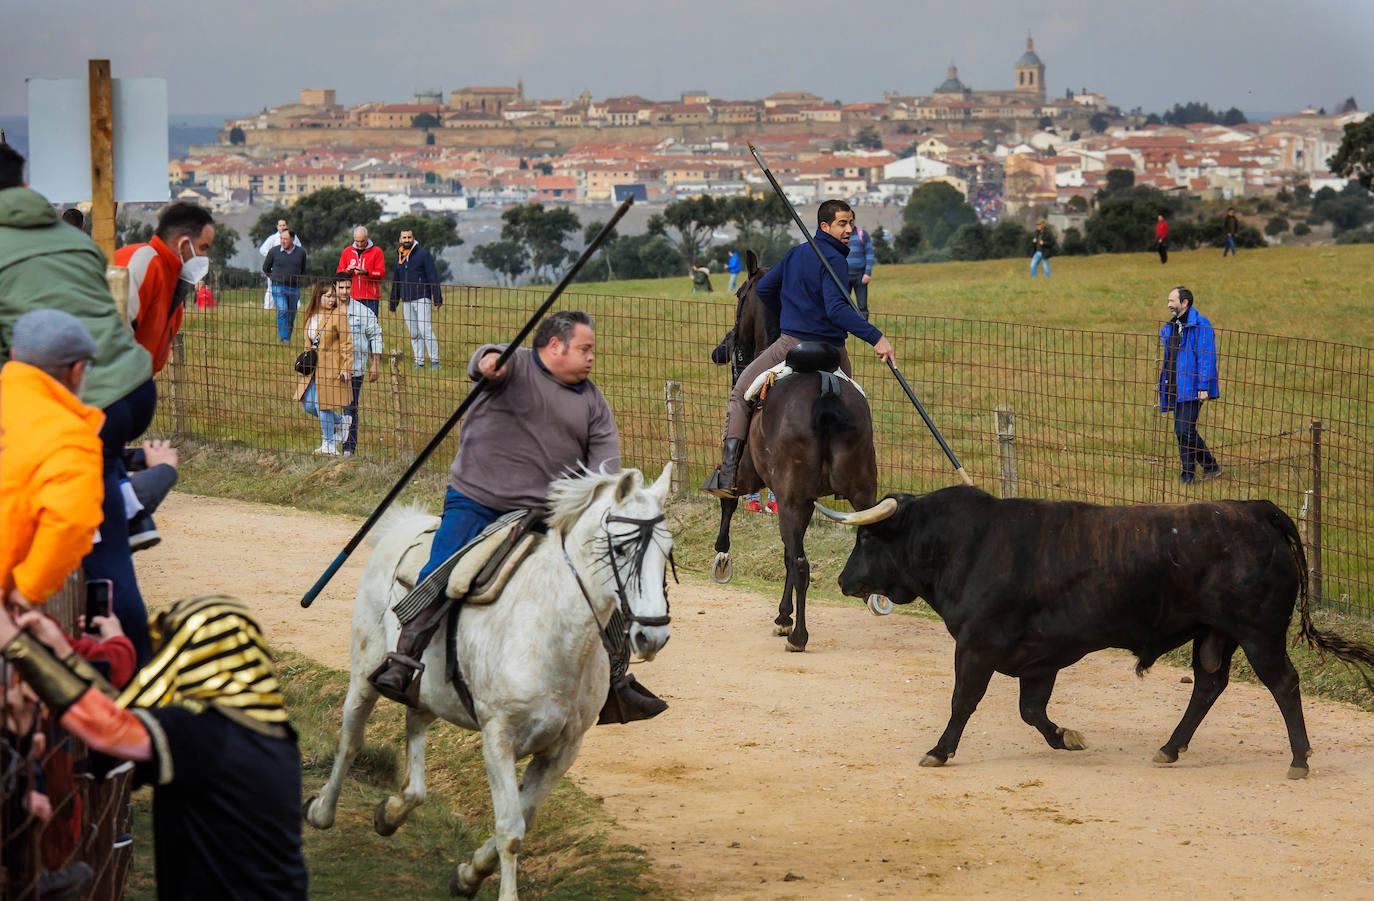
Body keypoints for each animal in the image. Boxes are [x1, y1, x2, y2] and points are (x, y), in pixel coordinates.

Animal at [309, 464, 678, 900]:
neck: (551, 632)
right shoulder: (499, 739)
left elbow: (526, 817)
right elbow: (511, 829)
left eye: (667, 551)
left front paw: (469, 875)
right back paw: (321, 811)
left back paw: (394, 810)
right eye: (620, 550)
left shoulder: (563, 750)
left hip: (428, 691)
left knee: (415, 730)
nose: (652, 636)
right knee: (351, 739)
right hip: (365, 675)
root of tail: (405, 527)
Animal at [708, 249, 879, 651]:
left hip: (790, 496)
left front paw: (723, 556)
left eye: (739, 294)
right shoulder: (804, 498)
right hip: (860, 490)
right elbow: (787, 553)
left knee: (800, 562)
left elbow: (730, 499)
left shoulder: (755, 479)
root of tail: (826, 389)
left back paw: (799, 636)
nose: (726, 350)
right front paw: (783, 615)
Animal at [824, 488, 1374, 780]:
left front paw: (939, 751)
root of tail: (1254, 508)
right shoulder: (1039, 657)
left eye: (867, 538)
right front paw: (1066, 737)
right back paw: (1170, 747)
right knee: (1209, 685)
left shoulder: (976, 647)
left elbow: (964, 702)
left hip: (1260, 634)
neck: (968, 545)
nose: (844, 581)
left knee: (1283, 684)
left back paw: (1299, 759)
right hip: (1214, 635)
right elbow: (1031, 711)